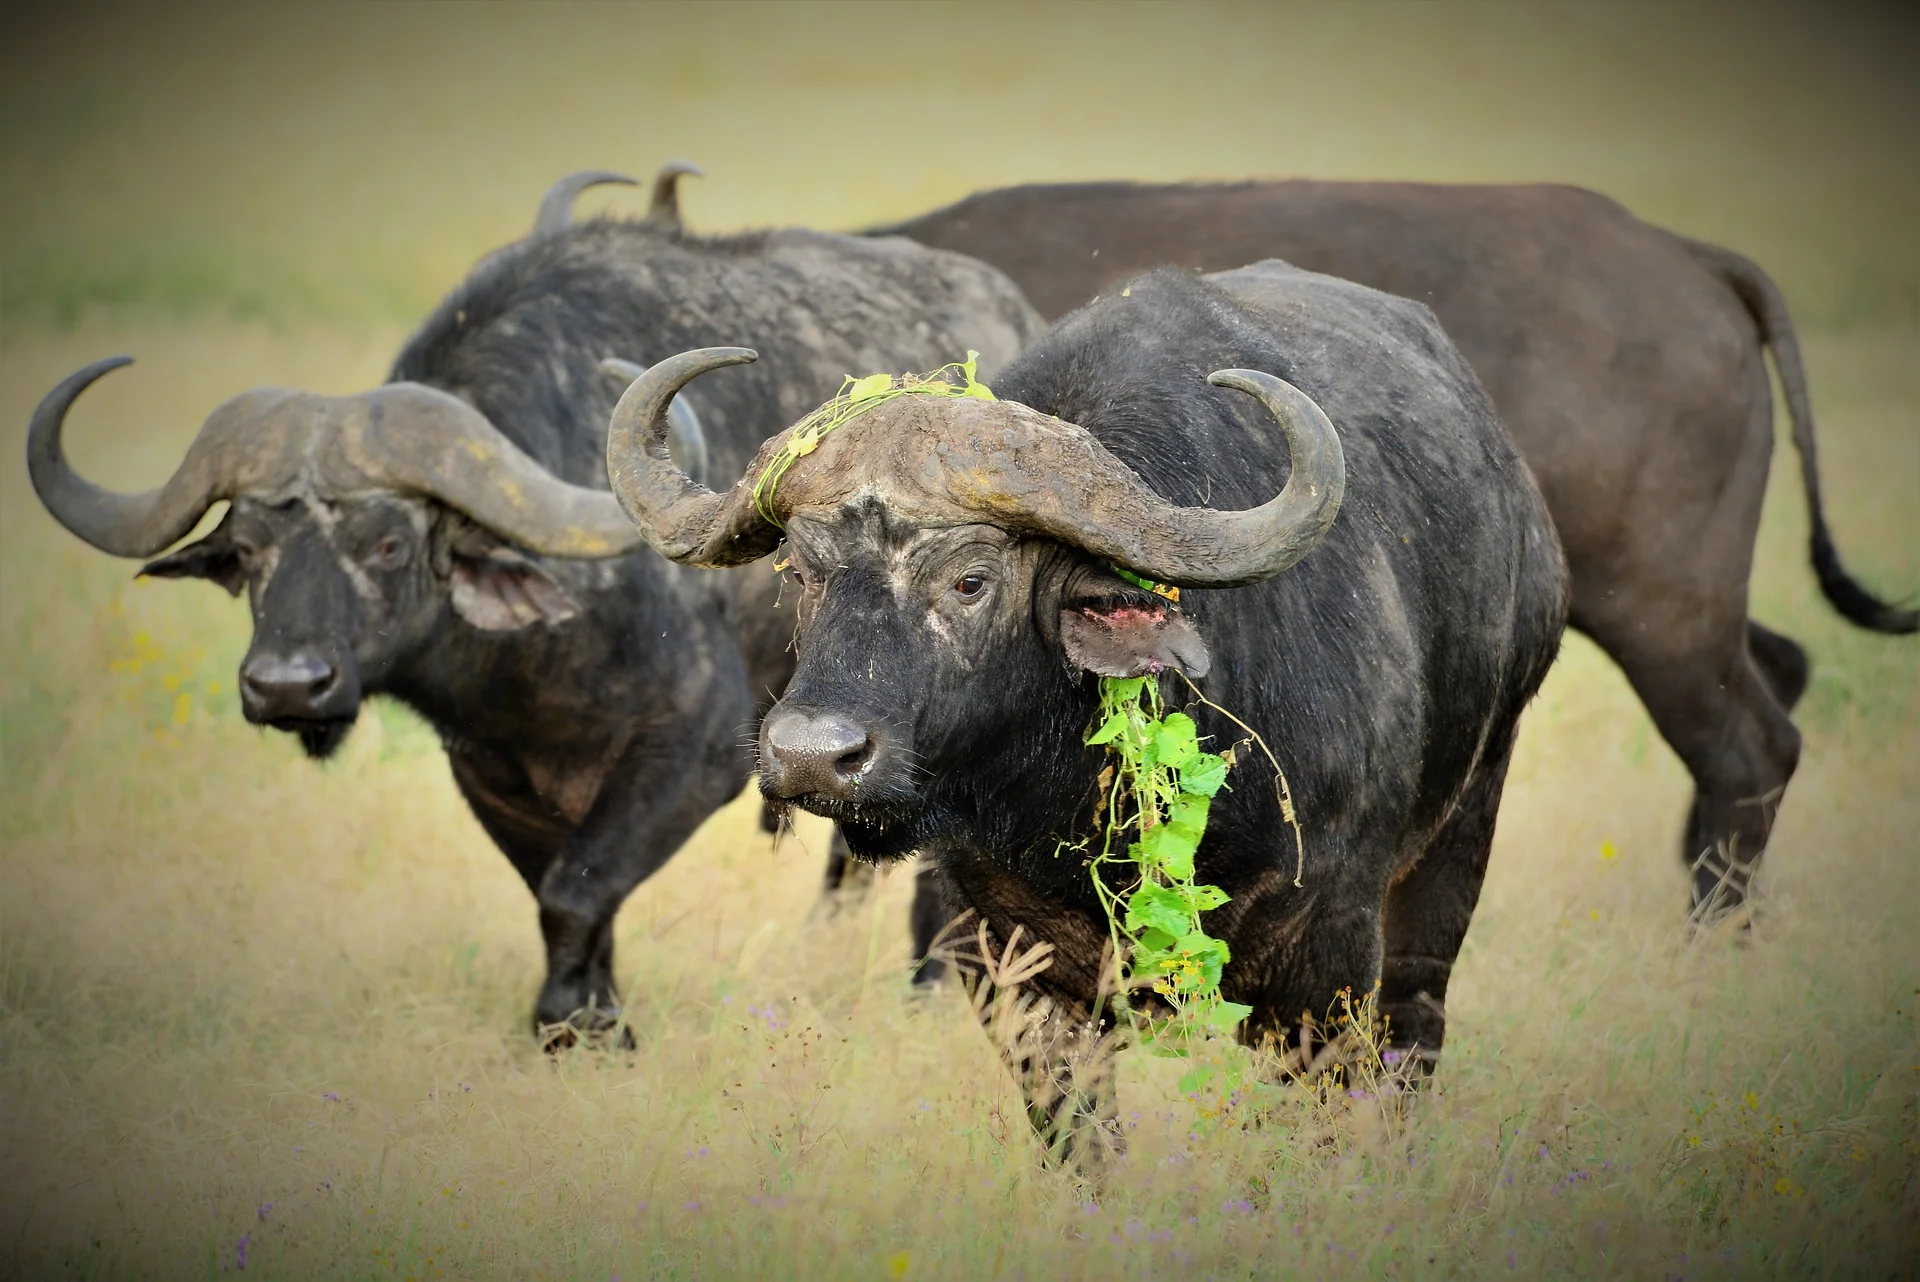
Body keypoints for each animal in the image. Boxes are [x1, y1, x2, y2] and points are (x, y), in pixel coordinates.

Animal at [26, 167, 1036, 1044]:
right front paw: (591, 1022)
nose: (286, 686)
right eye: (246, 553)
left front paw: (572, 1023)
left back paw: (933, 985)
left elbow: (577, 890)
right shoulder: (488, 771)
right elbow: (561, 895)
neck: (542, 656)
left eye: (387, 543)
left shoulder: (698, 753)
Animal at [614, 264, 1574, 1166]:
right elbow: (1081, 1140)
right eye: (801, 572)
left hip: (1464, 822)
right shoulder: (1009, 965)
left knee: (1415, 1032)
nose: (814, 756)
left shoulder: (1323, 962)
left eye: (971, 580)